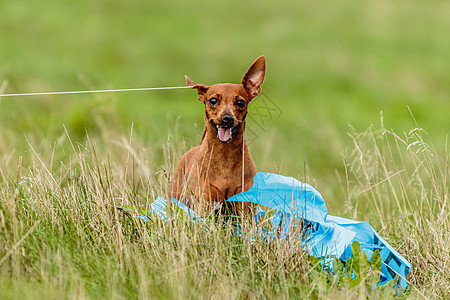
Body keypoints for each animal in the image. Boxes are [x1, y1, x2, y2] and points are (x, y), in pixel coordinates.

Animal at [171, 55, 266, 216]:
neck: (225, 155)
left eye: (241, 102)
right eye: (213, 100)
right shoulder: (204, 203)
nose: (227, 118)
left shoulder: (245, 207)